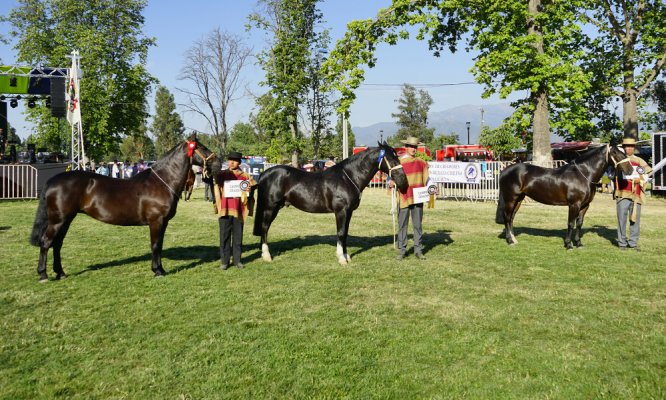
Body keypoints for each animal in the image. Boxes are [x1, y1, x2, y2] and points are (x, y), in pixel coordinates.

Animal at [31, 138, 218, 282]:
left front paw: (160, 269)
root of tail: (53, 180)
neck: (161, 183)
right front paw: (158, 271)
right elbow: (155, 245)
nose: (217, 161)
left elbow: (159, 245)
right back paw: (43, 275)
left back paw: (60, 273)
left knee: (57, 244)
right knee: (46, 243)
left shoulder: (162, 223)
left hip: (66, 220)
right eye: (201, 147)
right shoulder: (156, 221)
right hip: (58, 221)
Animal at [252, 142, 408, 264]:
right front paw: (341, 258)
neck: (348, 178)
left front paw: (346, 256)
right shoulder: (341, 211)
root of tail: (264, 174)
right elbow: (340, 233)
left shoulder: (348, 212)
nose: (404, 183)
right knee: (265, 228)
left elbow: (345, 233)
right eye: (391, 158)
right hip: (270, 208)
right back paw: (267, 256)